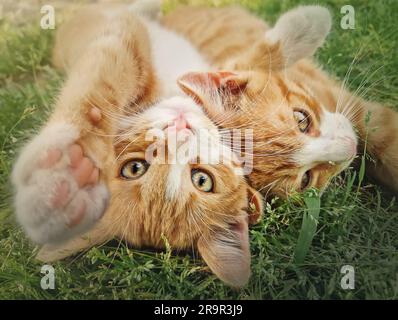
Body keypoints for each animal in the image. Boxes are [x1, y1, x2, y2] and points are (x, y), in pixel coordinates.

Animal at [12, 1, 262, 288]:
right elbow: (100, 82)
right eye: (135, 168)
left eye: (202, 180)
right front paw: (61, 176)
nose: (179, 130)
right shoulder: (121, 38)